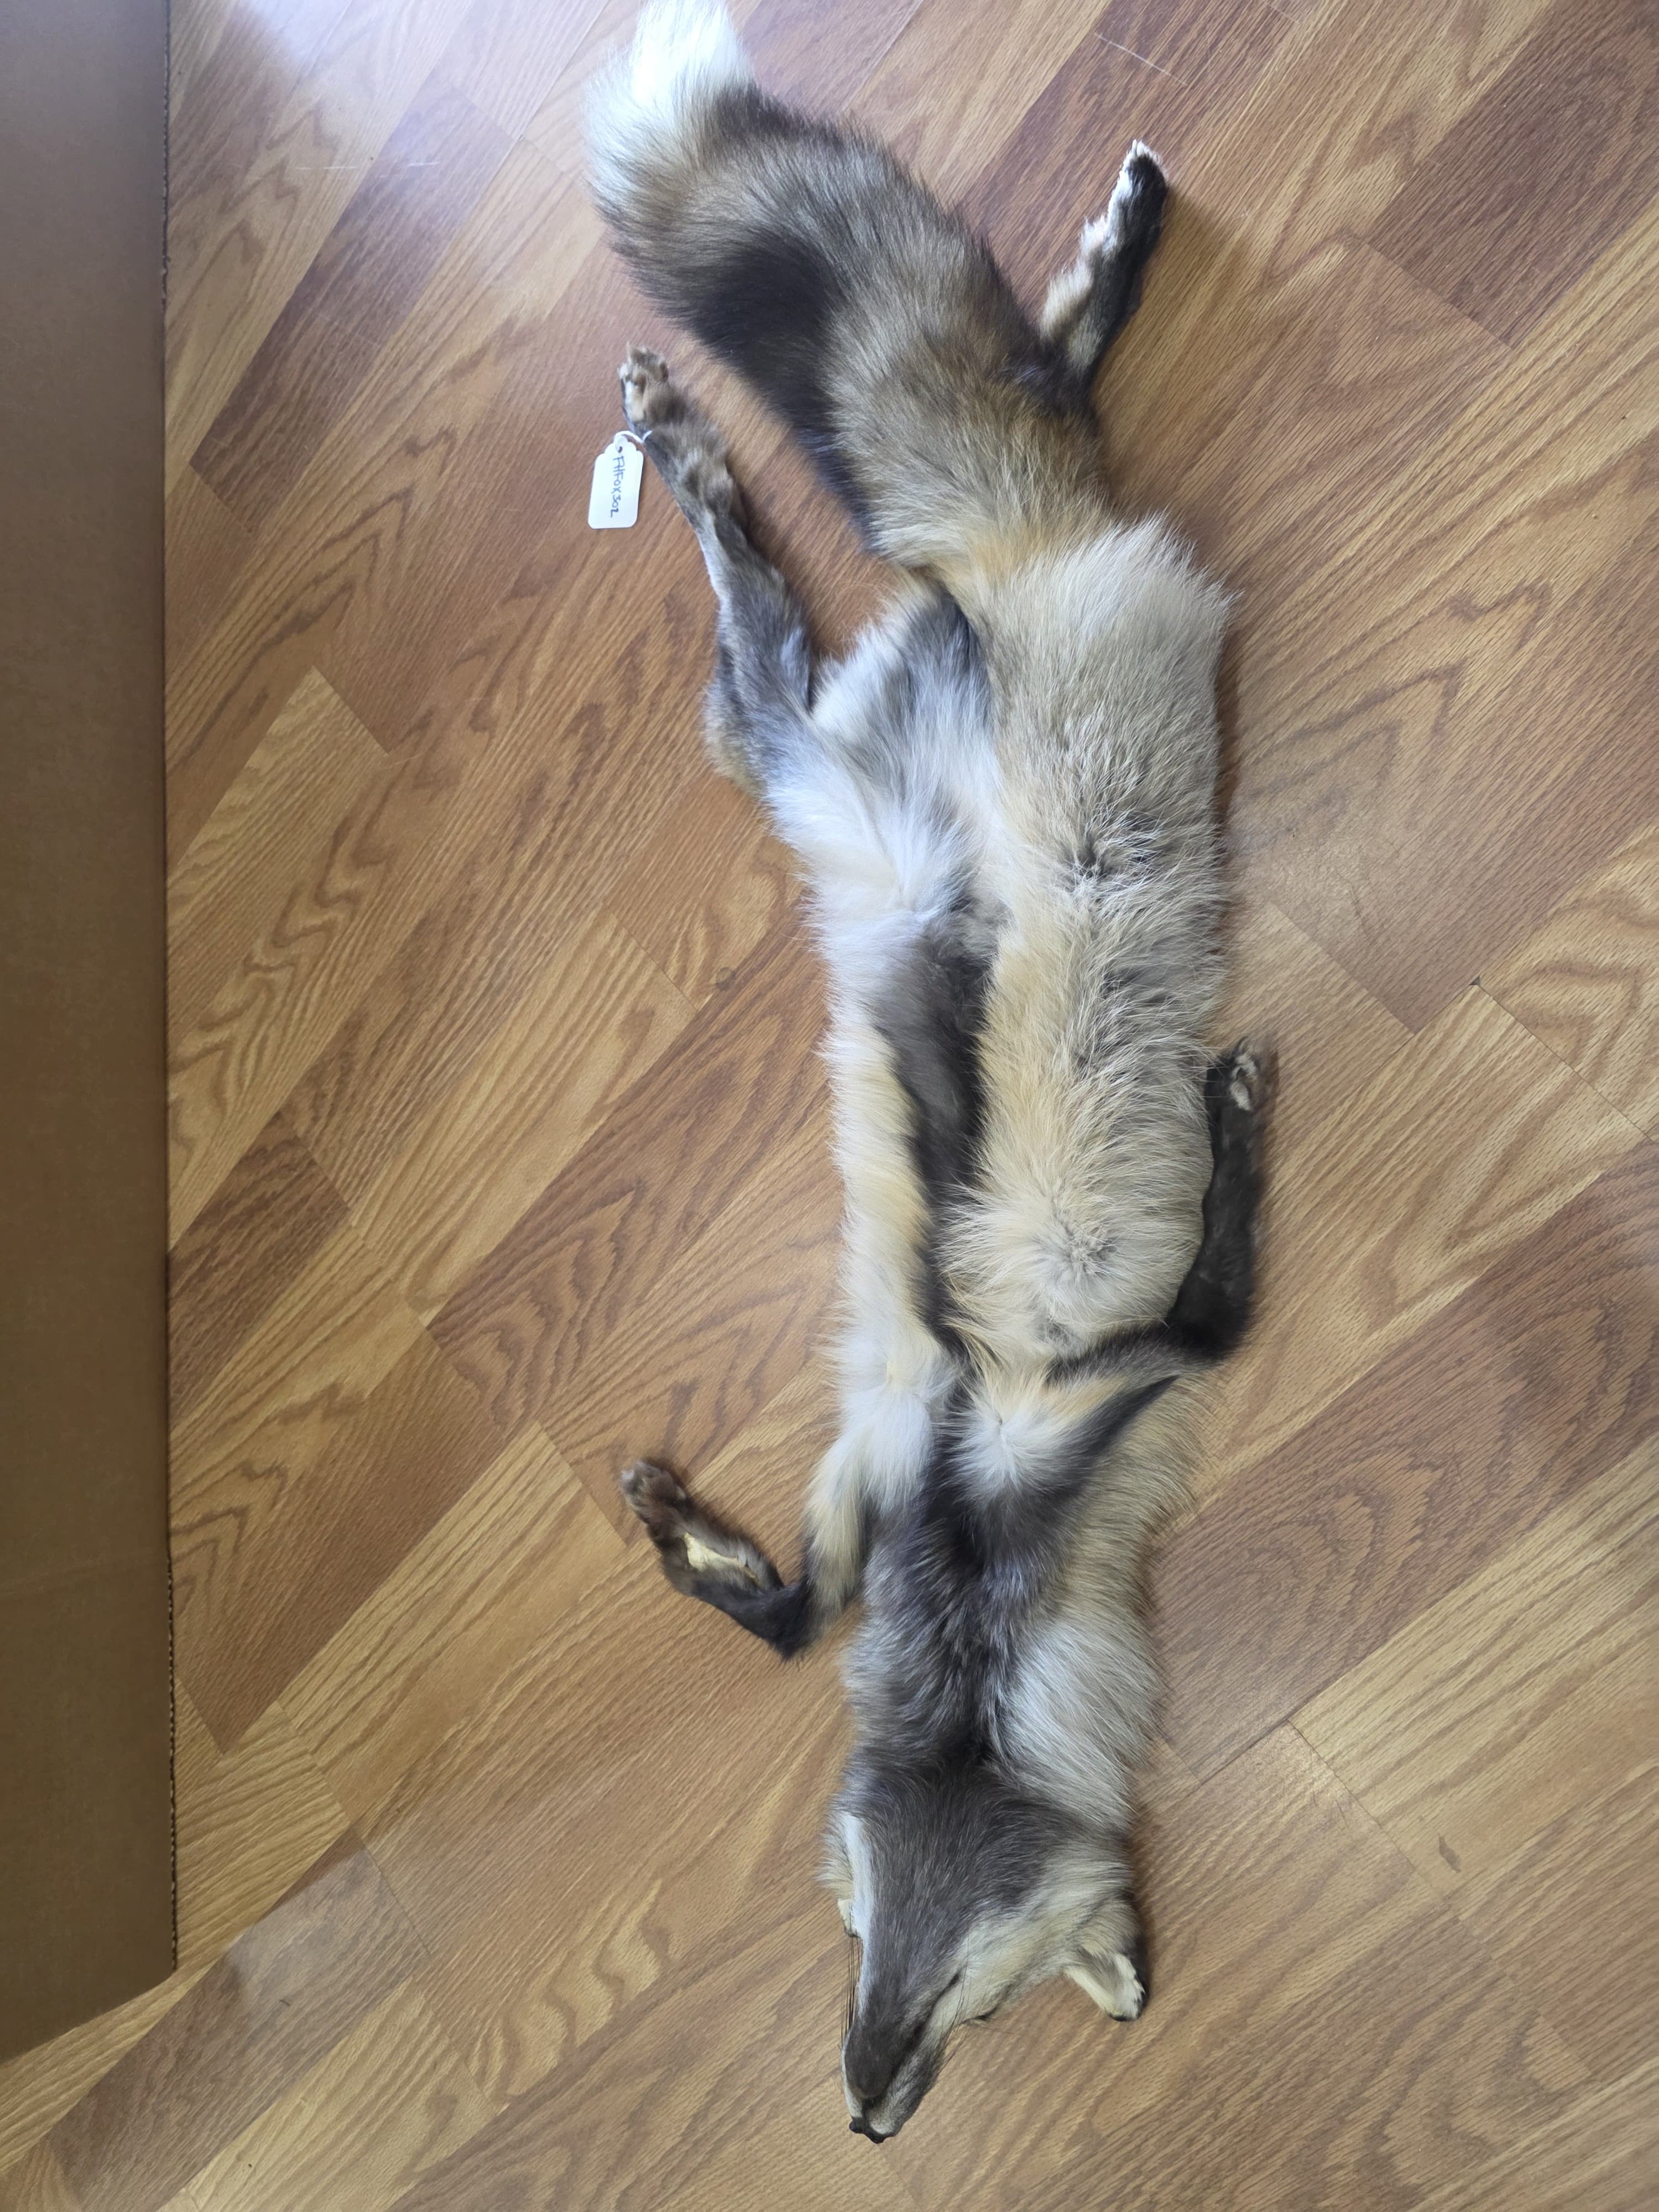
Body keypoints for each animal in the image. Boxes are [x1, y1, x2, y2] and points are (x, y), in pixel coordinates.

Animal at [587, 0, 1269, 2142]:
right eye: (866, 1933)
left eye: (969, 1986)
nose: (865, 2107)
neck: (968, 1558)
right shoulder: (899, 1444)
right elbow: (789, 1607)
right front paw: (695, 1545)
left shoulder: (1092, 1384)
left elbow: (1219, 1315)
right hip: (819, 750)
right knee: (949, 450)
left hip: (816, 741)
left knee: (844, 555)